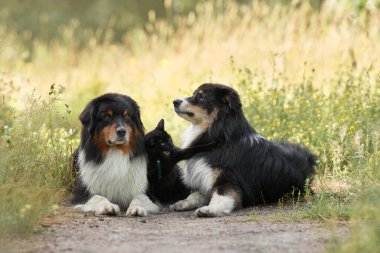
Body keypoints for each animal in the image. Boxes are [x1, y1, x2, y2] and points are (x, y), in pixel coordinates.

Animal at [170, 84, 318, 216]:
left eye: (201, 97)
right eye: (194, 93)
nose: (175, 101)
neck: (219, 139)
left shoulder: (228, 179)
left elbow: (221, 195)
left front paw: (209, 210)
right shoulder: (204, 176)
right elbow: (195, 195)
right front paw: (183, 202)